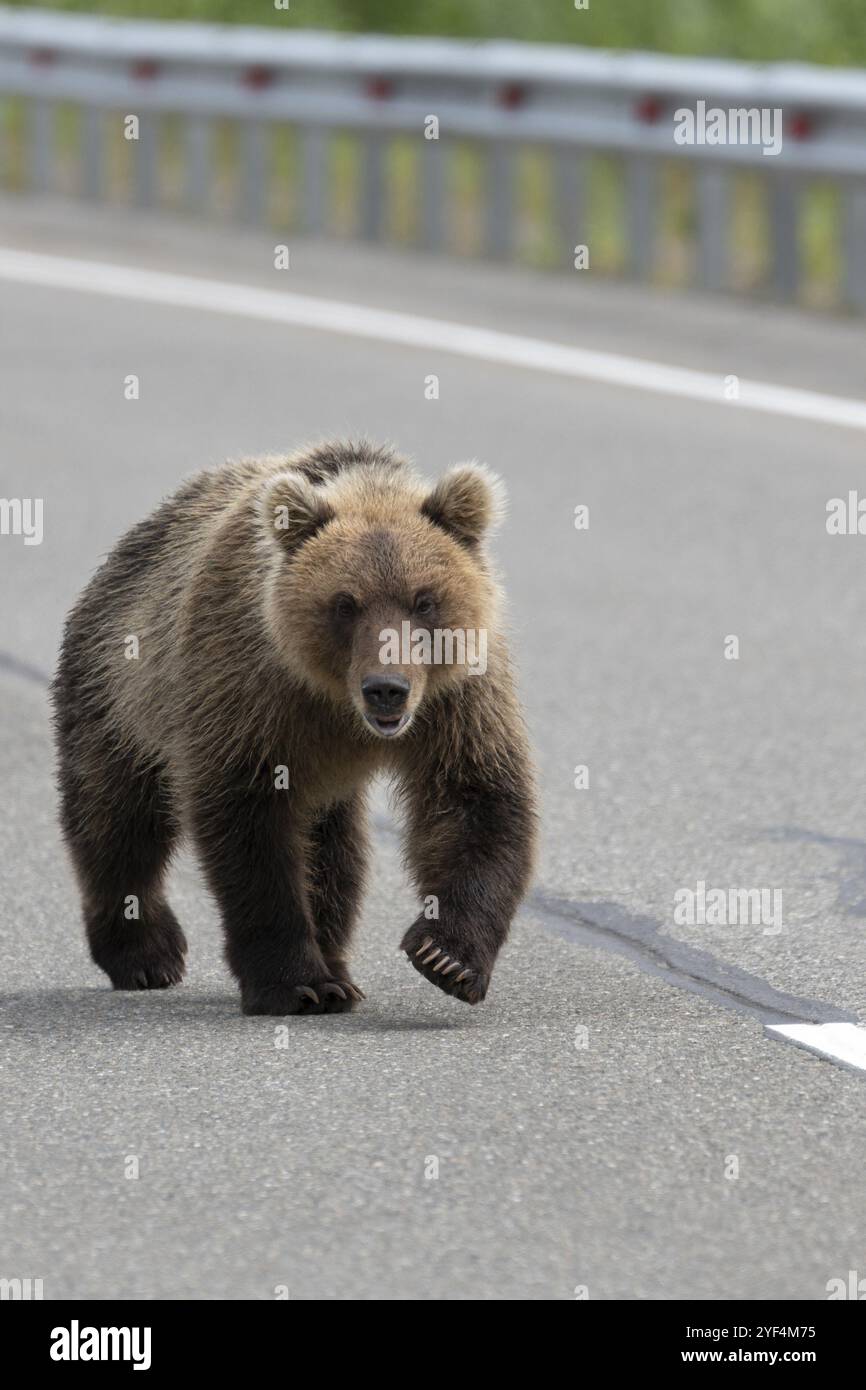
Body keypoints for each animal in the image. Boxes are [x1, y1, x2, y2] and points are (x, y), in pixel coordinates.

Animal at [52, 439, 536, 1017]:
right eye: (345, 603)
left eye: (424, 600)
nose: (387, 688)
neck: (336, 702)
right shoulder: (248, 686)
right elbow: (251, 828)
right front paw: (294, 983)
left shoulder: (457, 697)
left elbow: (474, 799)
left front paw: (448, 957)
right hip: (120, 695)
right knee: (117, 821)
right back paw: (146, 954)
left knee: (337, 854)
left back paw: (340, 971)